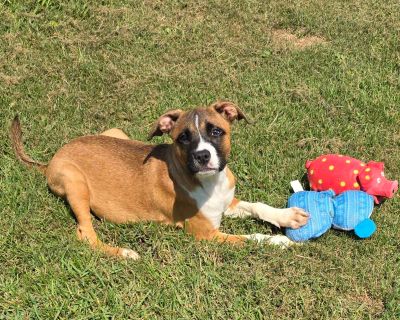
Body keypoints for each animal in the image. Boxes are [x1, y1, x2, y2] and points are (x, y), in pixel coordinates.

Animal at [10, 101, 308, 258]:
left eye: (216, 131)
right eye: (183, 138)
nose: (202, 156)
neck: (210, 183)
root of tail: (51, 160)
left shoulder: (228, 203)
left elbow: (258, 206)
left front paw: (289, 216)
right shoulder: (206, 235)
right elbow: (249, 238)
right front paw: (279, 241)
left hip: (117, 132)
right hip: (76, 184)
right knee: (86, 234)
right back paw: (124, 253)